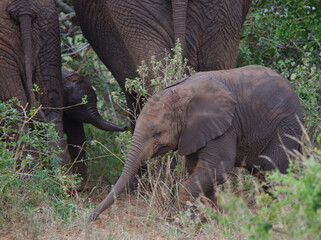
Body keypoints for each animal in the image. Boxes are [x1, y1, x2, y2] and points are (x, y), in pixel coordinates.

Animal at [90, 65, 302, 219]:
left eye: (157, 133)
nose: (92, 217)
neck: (181, 94)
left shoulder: (226, 126)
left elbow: (217, 168)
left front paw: (201, 213)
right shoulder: (193, 132)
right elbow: (197, 169)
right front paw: (214, 214)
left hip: (286, 126)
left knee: (275, 173)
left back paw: (283, 212)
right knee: (264, 175)